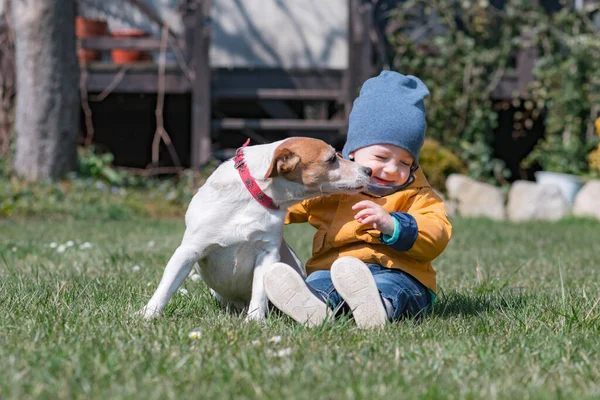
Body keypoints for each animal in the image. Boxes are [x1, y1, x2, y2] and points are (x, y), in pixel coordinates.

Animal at [141, 138, 372, 322]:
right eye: (332, 158)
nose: (368, 170)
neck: (253, 197)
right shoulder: (189, 251)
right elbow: (166, 286)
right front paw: (148, 314)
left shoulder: (267, 254)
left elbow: (259, 292)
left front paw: (255, 321)